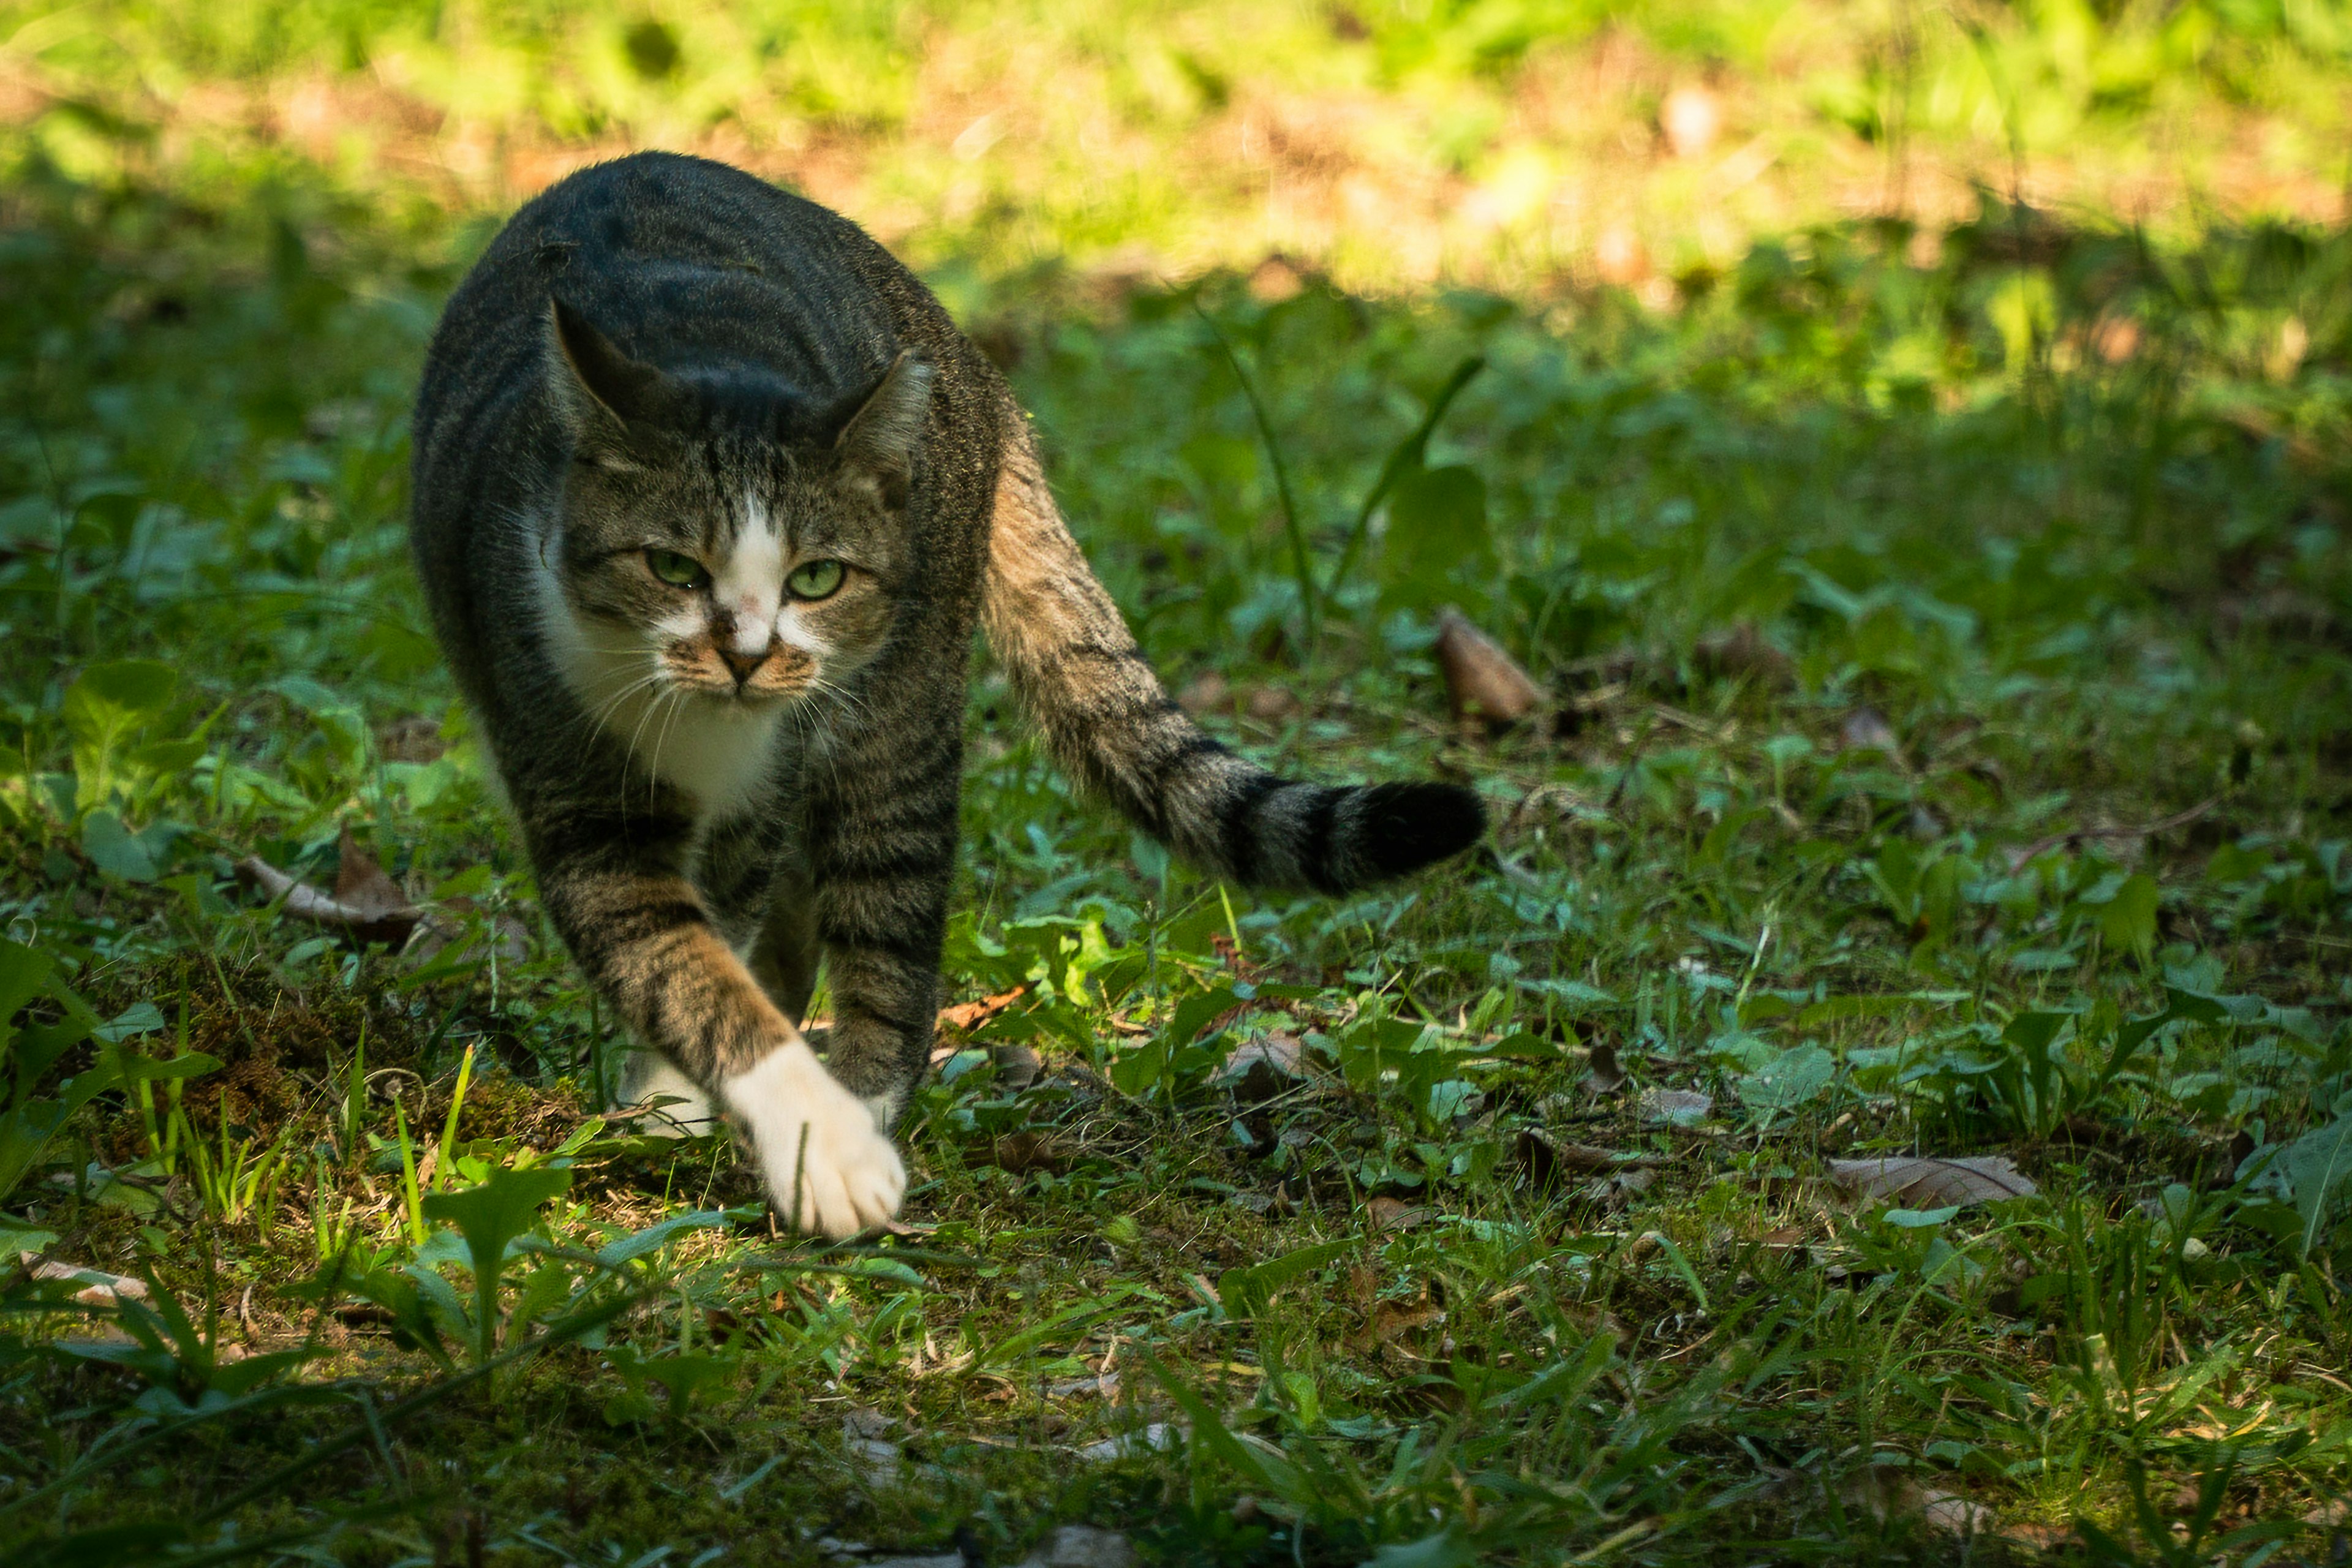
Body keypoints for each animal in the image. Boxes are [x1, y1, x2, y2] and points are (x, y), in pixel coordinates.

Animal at [412, 156, 1477, 1241]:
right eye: (671, 567)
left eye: (817, 580)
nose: (748, 655)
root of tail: (968, 359)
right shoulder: (574, 777)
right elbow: (687, 963)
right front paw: (701, 1109)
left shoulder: (766, 786)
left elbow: (720, 936)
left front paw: (796, 1139)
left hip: (901, 701)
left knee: (887, 912)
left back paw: (864, 1097)